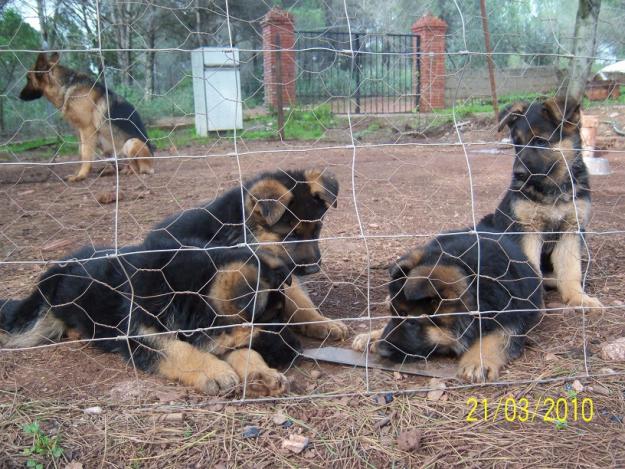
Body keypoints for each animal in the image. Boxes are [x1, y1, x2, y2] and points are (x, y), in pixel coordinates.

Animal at [0, 239, 300, 396]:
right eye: (271, 324)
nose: (297, 349)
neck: (182, 293)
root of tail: (63, 265)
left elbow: (242, 351)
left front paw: (261, 372)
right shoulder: (139, 336)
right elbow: (178, 349)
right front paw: (213, 371)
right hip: (40, 315)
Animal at [18, 52, 155, 181]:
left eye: (28, 78)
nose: (19, 96)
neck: (66, 85)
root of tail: (152, 162)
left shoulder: (87, 130)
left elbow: (85, 155)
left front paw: (81, 175)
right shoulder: (79, 132)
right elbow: (80, 153)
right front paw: (77, 173)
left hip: (131, 142)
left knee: (137, 168)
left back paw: (128, 171)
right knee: (118, 166)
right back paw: (111, 171)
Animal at [146, 168, 352, 340]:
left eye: (316, 231)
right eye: (291, 235)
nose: (312, 270)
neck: (246, 230)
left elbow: (299, 300)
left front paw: (321, 323)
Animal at [352, 220, 540, 380]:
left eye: (411, 321)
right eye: (394, 314)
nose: (382, 350)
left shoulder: (512, 316)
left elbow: (497, 337)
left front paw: (477, 361)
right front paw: (373, 335)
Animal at [494, 95, 604, 310]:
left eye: (540, 142)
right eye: (517, 143)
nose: (518, 174)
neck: (553, 189)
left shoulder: (571, 230)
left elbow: (571, 270)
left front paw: (577, 298)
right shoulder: (528, 231)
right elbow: (531, 270)